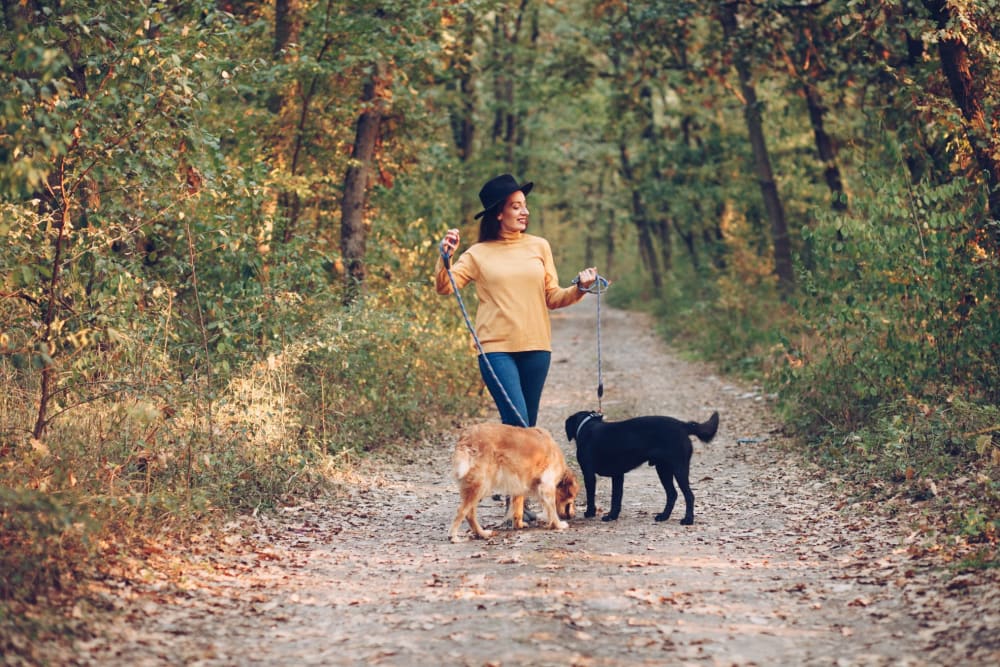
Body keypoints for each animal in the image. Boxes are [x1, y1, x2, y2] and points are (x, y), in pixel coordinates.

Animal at [564, 410, 720, 524]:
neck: (587, 427)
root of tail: (683, 425)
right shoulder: (618, 475)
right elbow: (616, 498)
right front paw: (612, 516)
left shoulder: (588, 473)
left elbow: (591, 497)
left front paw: (590, 513)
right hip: (663, 469)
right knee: (672, 494)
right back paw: (663, 516)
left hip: (678, 468)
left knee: (689, 495)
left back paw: (688, 520)